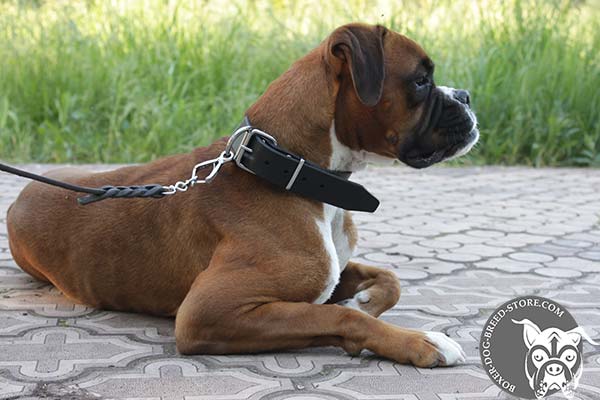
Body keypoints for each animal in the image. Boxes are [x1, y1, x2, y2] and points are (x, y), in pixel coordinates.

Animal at [5, 23, 478, 368]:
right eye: (421, 81)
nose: (468, 95)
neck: (288, 170)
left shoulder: (330, 271)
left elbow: (387, 280)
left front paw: (366, 300)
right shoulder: (206, 314)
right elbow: (337, 314)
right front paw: (419, 341)